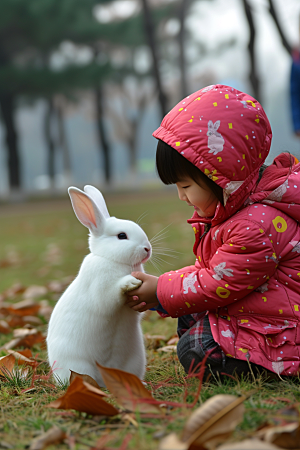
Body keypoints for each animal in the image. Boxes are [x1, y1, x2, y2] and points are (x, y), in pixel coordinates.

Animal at [46, 186, 150, 386]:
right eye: (122, 236)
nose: (147, 249)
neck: (113, 260)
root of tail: (105, 376)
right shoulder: (101, 291)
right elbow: (110, 298)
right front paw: (131, 282)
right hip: (77, 365)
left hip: (135, 361)